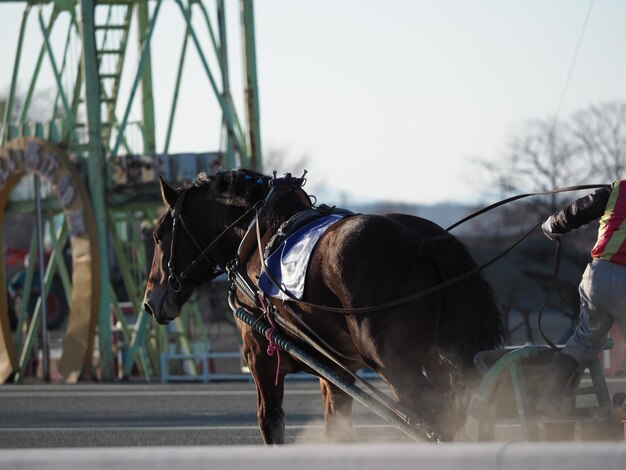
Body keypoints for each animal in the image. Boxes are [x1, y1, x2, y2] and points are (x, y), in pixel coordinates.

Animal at [143, 170, 502, 444]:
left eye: (158, 236)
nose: (149, 301)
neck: (257, 237)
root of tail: (421, 240)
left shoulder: (260, 356)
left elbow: (270, 423)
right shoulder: (335, 370)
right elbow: (337, 430)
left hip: (396, 364)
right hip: (442, 359)